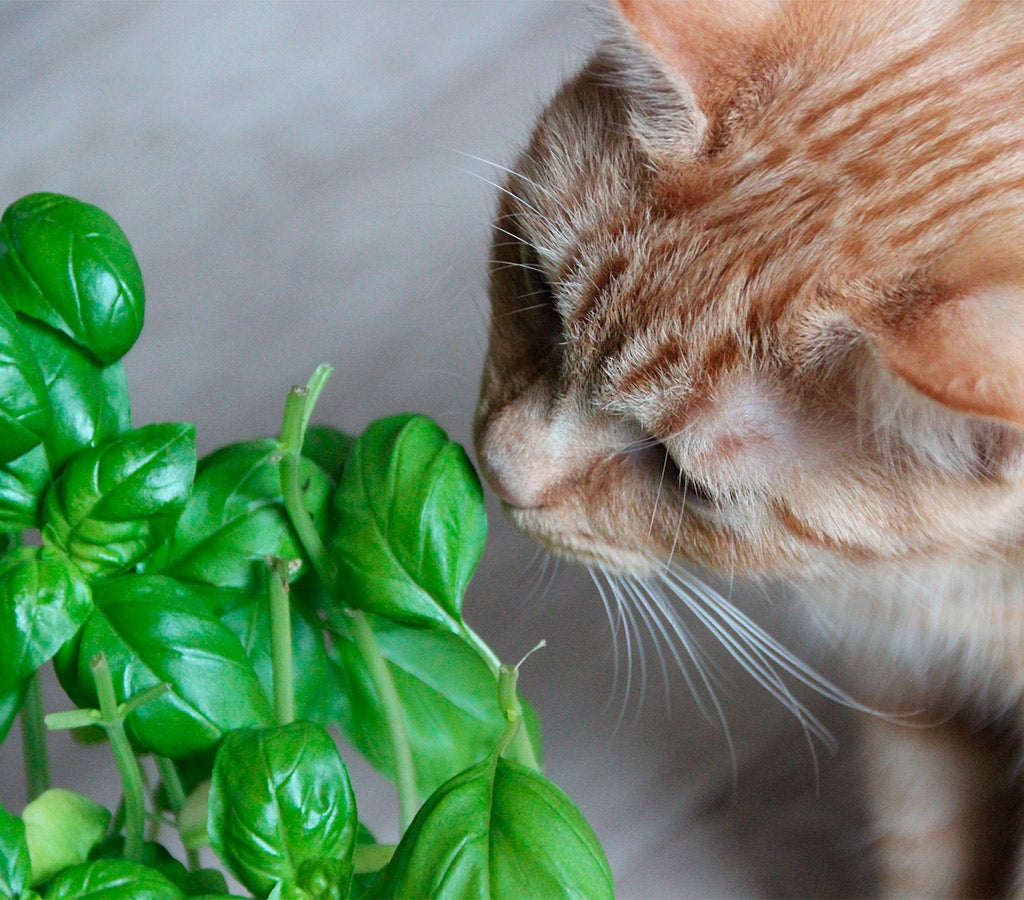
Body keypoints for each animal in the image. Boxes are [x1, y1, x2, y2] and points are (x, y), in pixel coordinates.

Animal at [475, 3, 1024, 896]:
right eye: (540, 295)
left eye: (682, 477)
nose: (501, 473)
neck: (960, 585)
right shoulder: (912, 693)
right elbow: (926, 853)